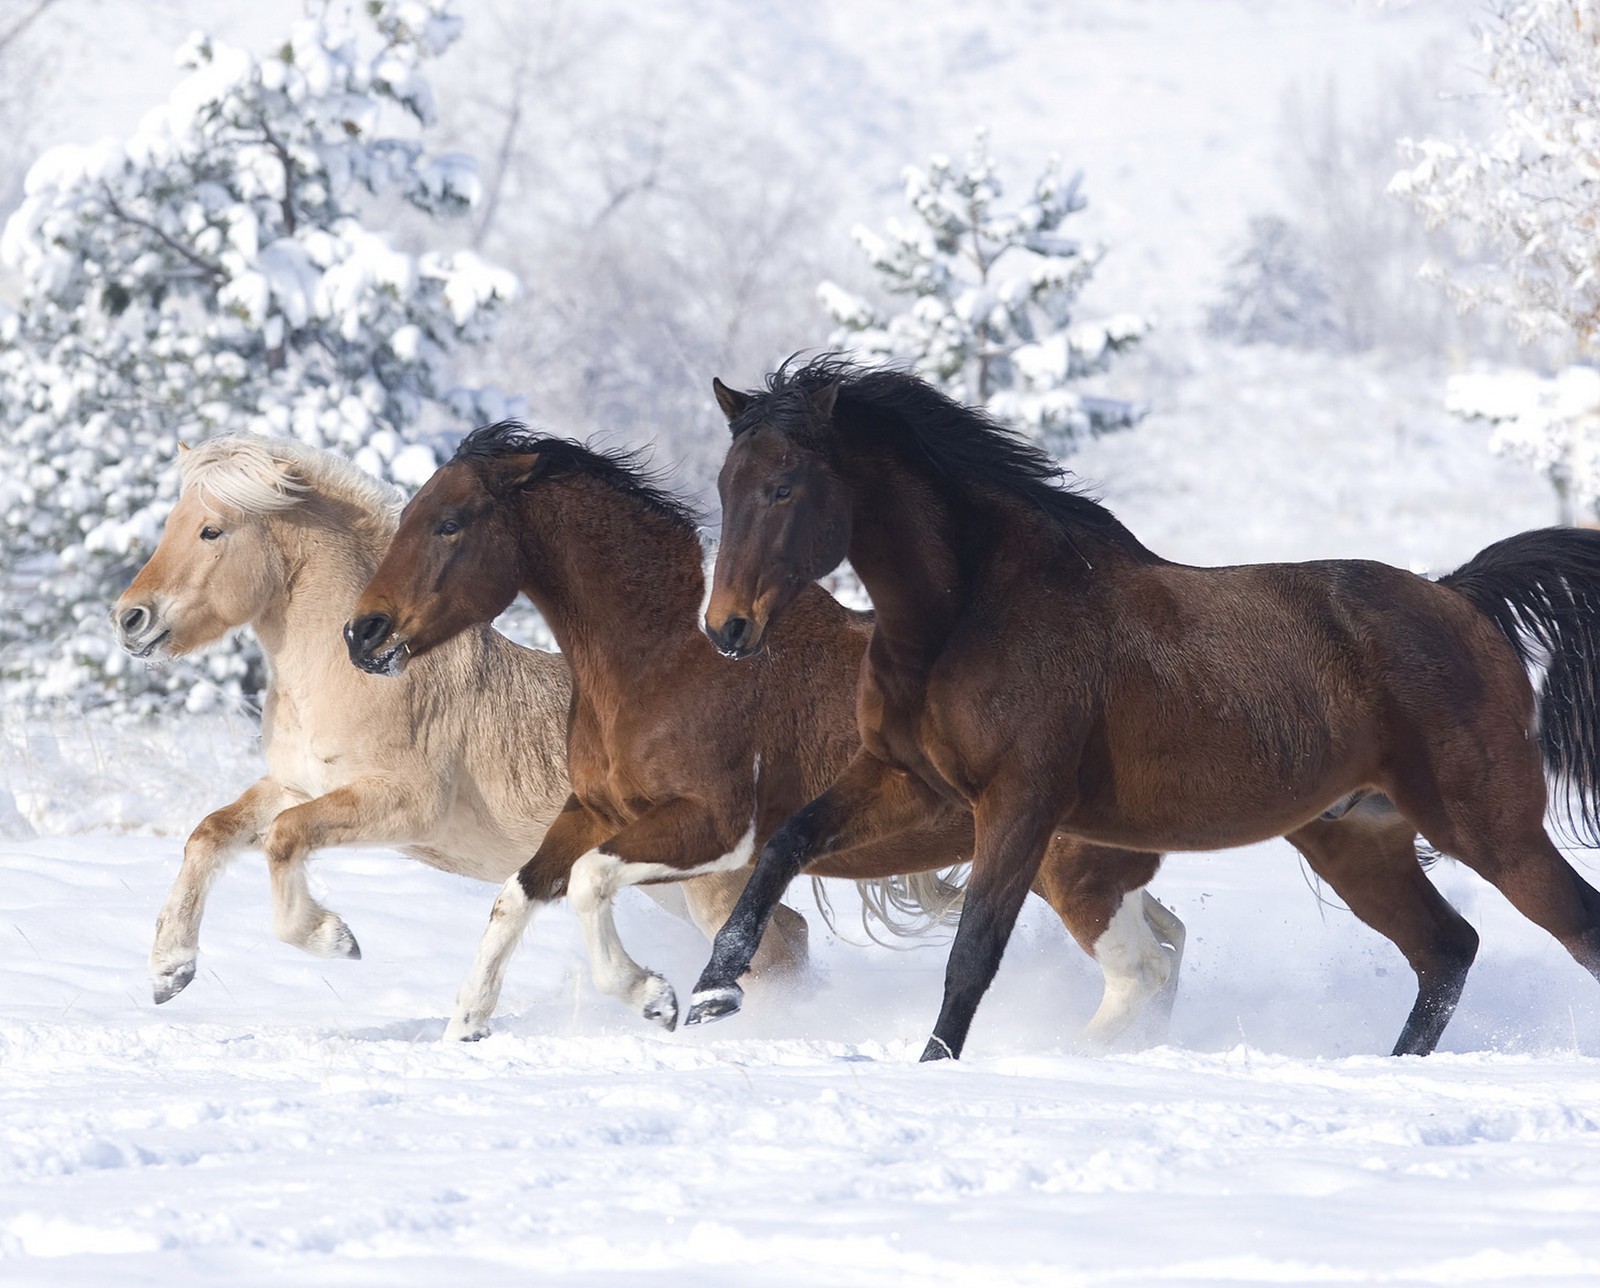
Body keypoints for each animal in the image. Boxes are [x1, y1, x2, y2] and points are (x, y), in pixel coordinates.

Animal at [114, 438, 806, 1011]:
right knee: (788, 935)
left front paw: (334, 939)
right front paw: (169, 971)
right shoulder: (296, 785)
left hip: (707, 884)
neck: (355, 674)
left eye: (212, 530)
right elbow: (209, 833)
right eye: (171, 524)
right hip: (667, 880)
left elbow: (283, 839)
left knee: (773, 949)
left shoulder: (404, 804)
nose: (129, 619)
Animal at [340, 422, 1190, 1043]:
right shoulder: (593, 810)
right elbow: (517, 895)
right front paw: (466, 1023)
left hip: (1068, 868)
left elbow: (587, 884)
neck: (663, 657)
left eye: (450, 523)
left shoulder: (714, 828)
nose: (361, 633)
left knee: (1141, 971)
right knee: (1167, 945)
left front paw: (656, 997)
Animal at [694, 356, 1600, 1062]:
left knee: (1570, 928)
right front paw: (711, 993)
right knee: (1446, 951)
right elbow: (784, 845)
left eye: (782, 486)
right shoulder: (907, 780)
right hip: (1358, 840)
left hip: (1490, 828)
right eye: (725, 485)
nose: (726, 628)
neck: (971, 611)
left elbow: (972, 953)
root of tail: (1460, 598)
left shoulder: (1020, 805)